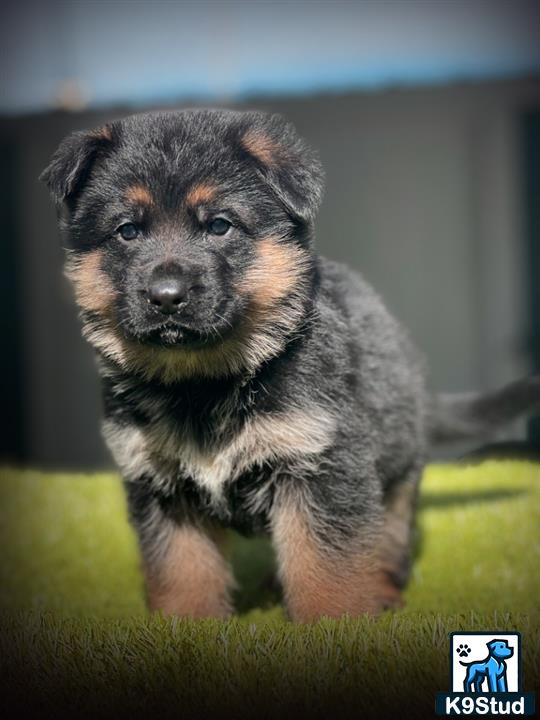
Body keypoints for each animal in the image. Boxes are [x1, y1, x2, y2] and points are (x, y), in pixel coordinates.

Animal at [40, 108, 536, 620]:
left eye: (219, 226)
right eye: (128, 231)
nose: (166, 297)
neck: (205, 382)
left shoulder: (321, 462)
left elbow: (327, 562)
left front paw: (332, 622)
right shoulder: (159, 483)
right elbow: (182, 566)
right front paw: (189, 624)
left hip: (397, 470)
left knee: (389, 535)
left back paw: (381, 590)